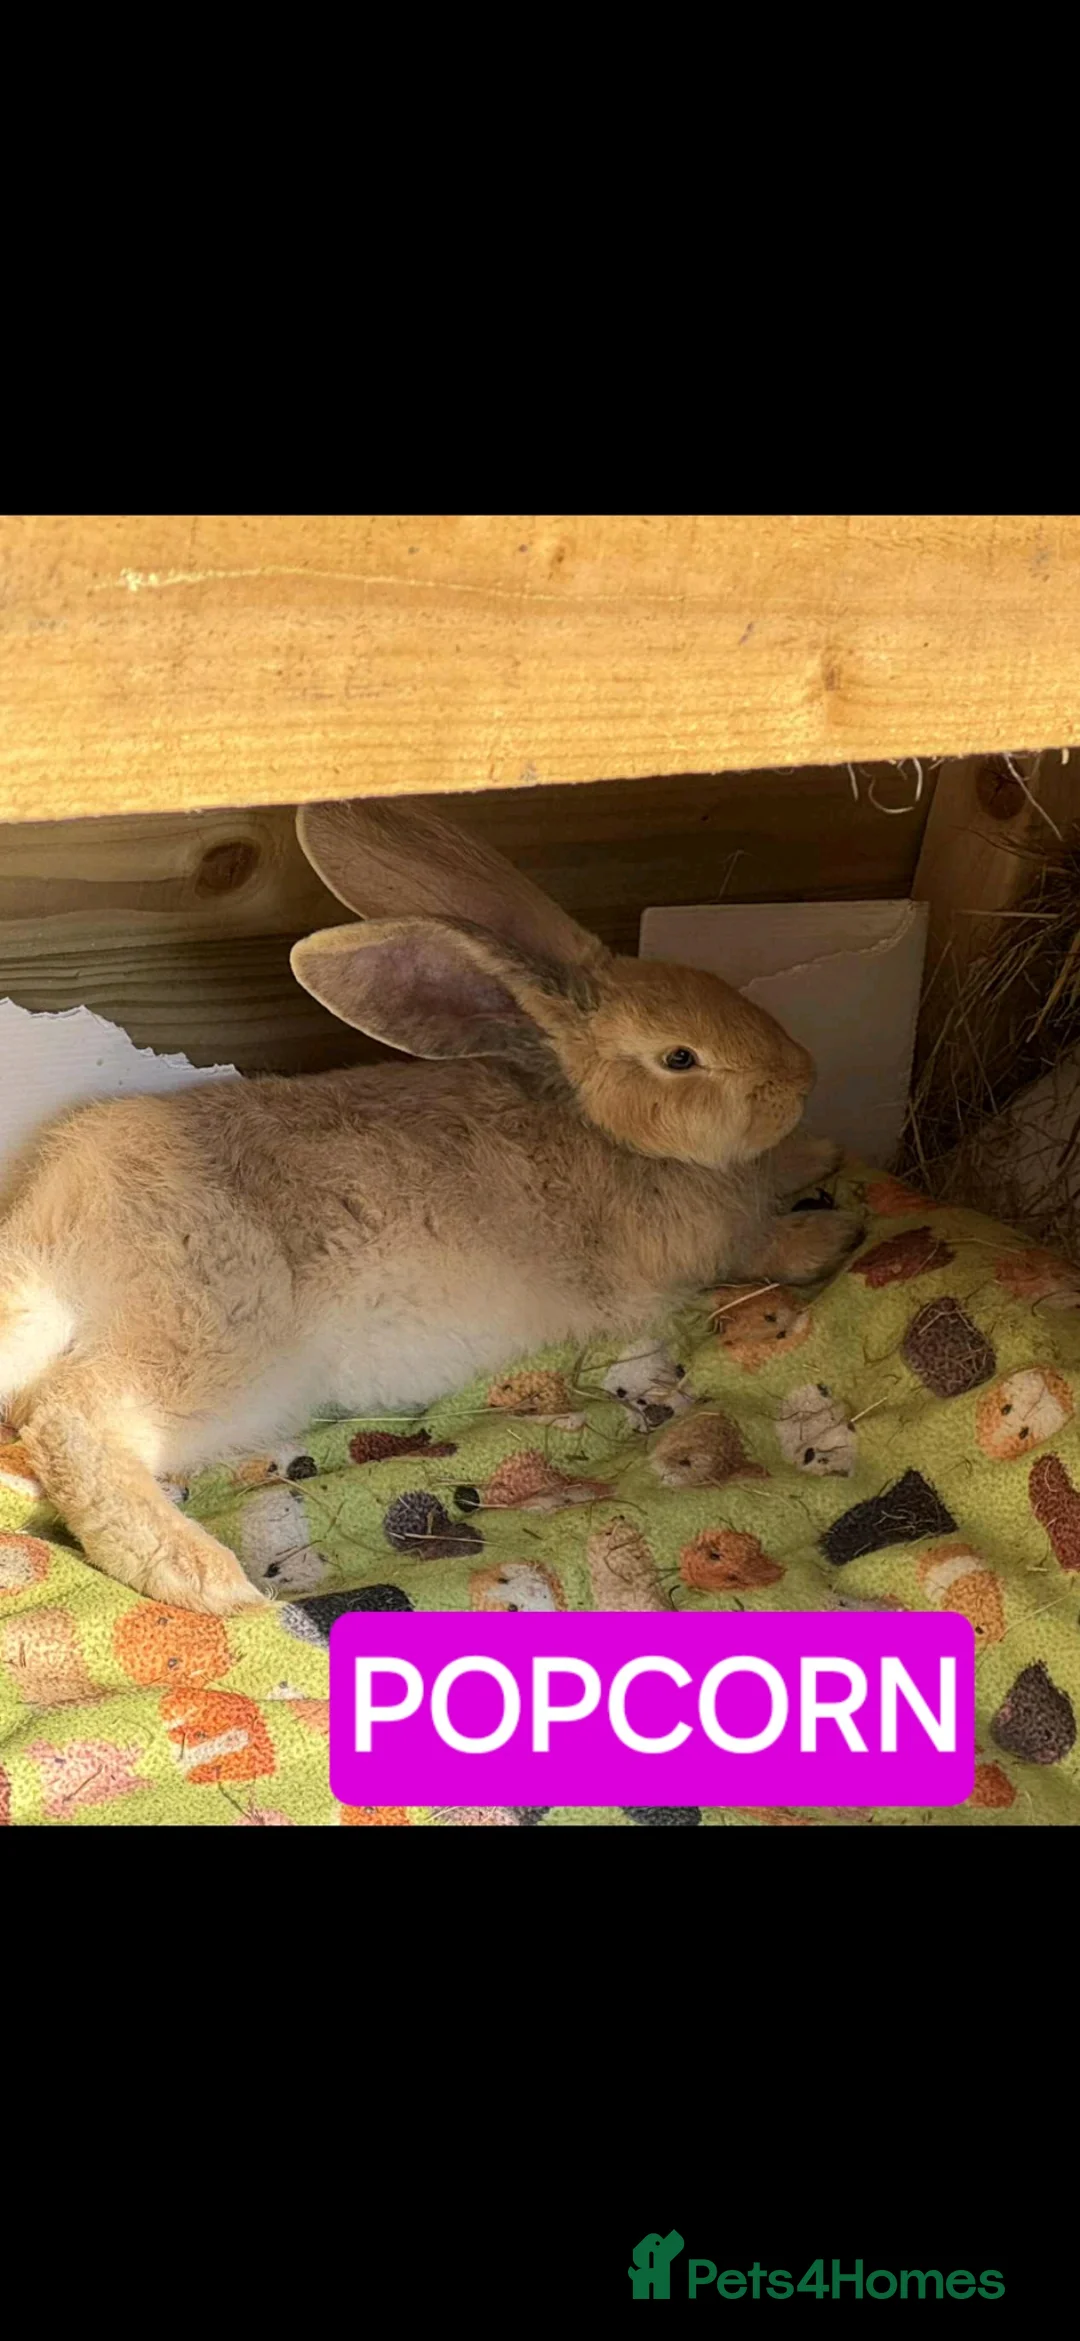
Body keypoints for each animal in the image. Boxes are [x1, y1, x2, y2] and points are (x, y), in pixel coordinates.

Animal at [0, 798, 860, 1614]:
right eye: (680, 1057)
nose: (804, 1078)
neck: (610, 1127)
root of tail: (47, 1229)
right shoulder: (700, 1248)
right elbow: (761, 1244)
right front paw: (832, 1232)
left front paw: (818, 1152)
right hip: (210, 1346)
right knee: (71, 1416)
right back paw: (201, 1575)